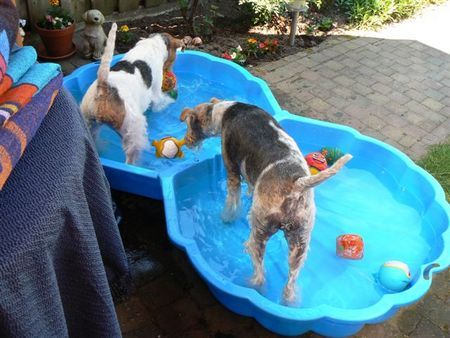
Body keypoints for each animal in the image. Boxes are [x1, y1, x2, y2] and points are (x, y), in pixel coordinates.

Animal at [81, 23, 185, 163]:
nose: (170, 71)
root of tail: (103, 87)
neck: (153, 43)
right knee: (131, 157)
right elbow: (162, 102)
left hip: (89, 123)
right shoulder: (157, 95)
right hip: (133, 129)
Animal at [179, 98, 352, 302]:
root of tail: (297, 184)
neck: (225, 111)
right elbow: (249, 187)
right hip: (300, 240)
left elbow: (232, 200)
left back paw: (251, 282)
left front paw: (227, 218)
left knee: (259, 271)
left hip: (261, 229)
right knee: (290, 282)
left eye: (188, 124)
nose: (187, 142)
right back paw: (288, 300)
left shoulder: (231, 169)